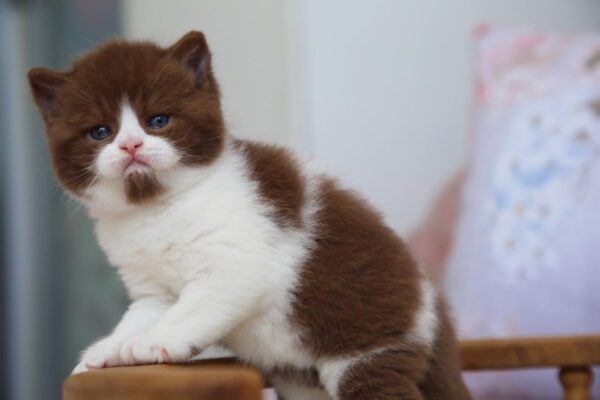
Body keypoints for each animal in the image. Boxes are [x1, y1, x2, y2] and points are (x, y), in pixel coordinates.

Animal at [28, 32, 472, 400]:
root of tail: (433, 304)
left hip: (372, 342)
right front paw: (106, 350)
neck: (156, 208)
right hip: (302, 382)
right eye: (100, 132)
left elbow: (192, 308)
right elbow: (143, 314)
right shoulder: (149, 287)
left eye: (158, 120)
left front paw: (150, 343)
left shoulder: (236, 262)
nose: (131, 145)